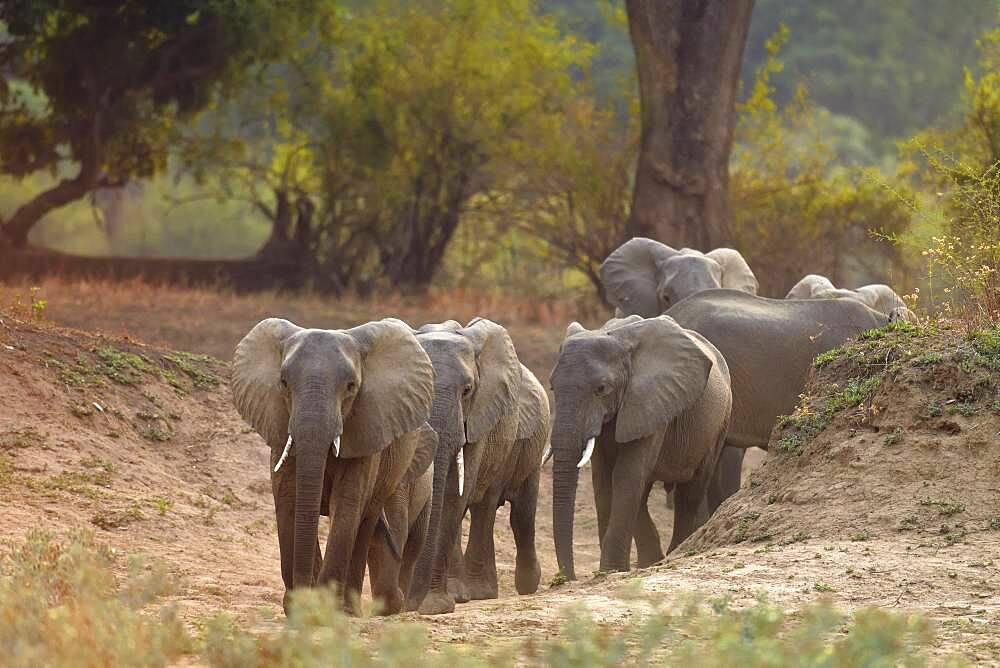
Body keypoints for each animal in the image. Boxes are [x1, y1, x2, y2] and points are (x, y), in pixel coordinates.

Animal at [236, 316, 440, 612]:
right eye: (283, 383)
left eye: (351, 386)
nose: (300, 601)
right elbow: (288, 500)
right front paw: (301, 607)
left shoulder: (367, 429)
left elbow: (346, 502)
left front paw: (325, 608)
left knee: (366, 523)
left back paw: (352, 609)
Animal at [402, 318, 552, 616]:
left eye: (467, 390)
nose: (414, 604)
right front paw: (434, 603)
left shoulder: (480, 416)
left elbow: (453, 497)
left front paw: (435, 606)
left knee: (509, 512)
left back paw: (499, 589)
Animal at [548, 314, 736, 580]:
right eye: (552, 387)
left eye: (601, 389)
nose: (567, 578)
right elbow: (604, 479)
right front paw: (614, 570)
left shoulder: (652, 401)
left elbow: (626, 475)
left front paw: (610, 570)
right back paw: (651, 561)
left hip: (720, 421)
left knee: (689, 493)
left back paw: (672, 554)